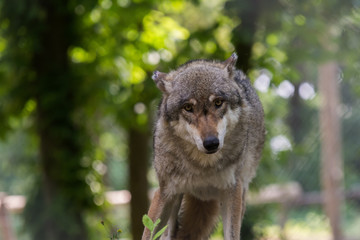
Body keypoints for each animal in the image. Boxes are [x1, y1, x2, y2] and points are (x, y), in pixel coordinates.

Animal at [142, 53, 266, 239]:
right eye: (188, 107)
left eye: (218, 102)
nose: (211, 143)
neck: (202, 166)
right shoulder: (165, 192)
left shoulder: (232, 191)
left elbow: (232, 235)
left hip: (241, 193)